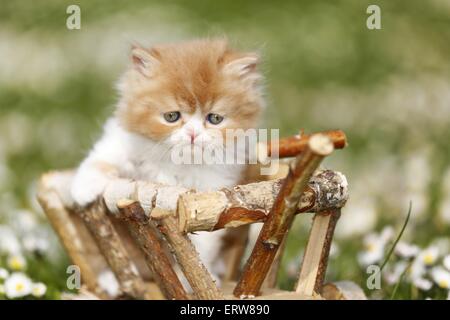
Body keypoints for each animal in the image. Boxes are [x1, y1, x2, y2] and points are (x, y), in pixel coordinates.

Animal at [71, 38, 264, 282]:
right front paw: (83, 189)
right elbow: (102, 157)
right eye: (171, 116)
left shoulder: (208, 196)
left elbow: (200, 246)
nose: (192, 133)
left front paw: (193, 278)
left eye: (214, 118)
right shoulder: (121, 141)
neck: (177, 163)